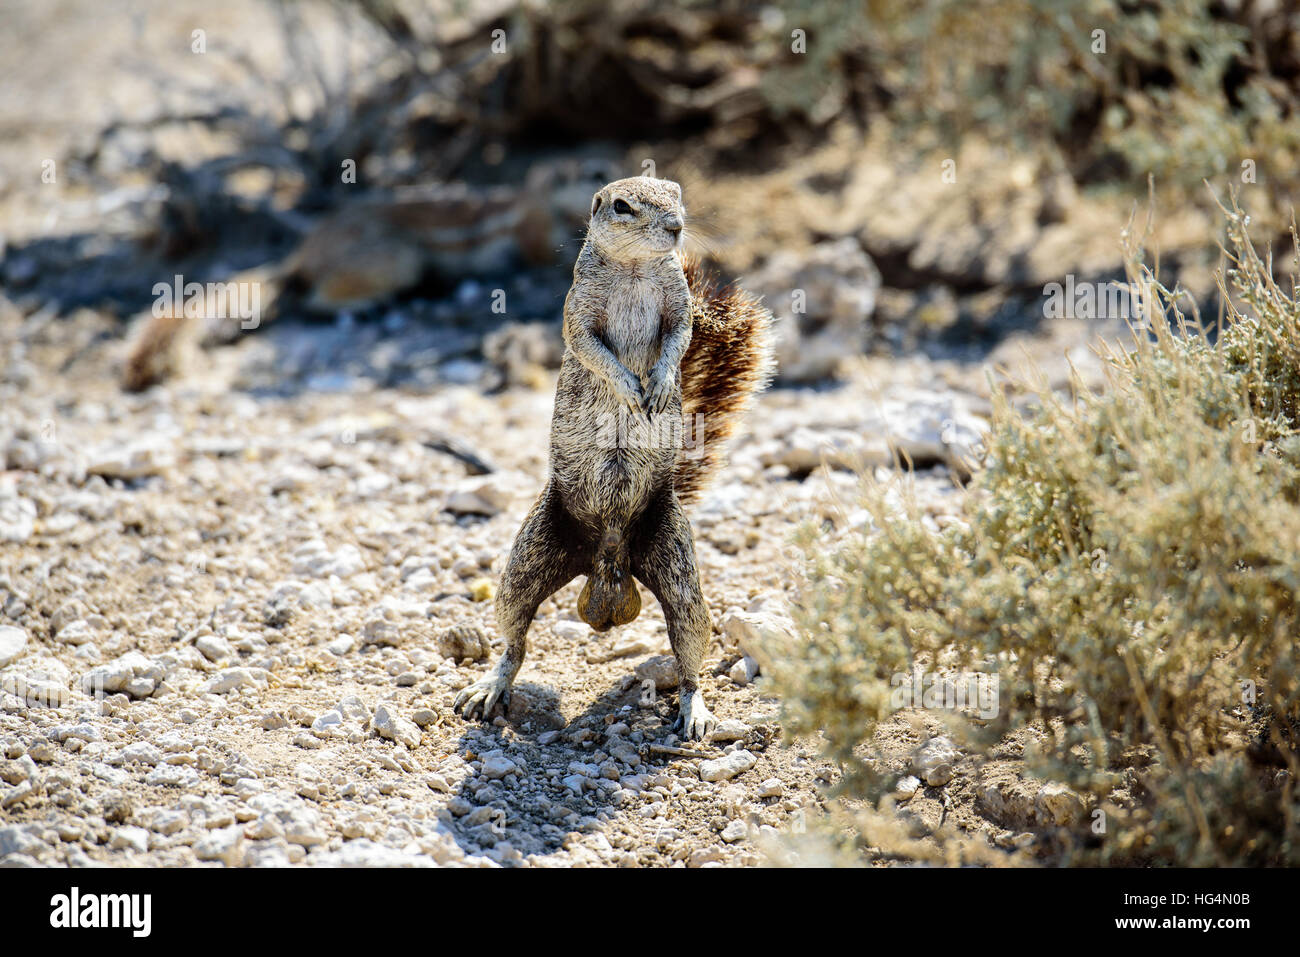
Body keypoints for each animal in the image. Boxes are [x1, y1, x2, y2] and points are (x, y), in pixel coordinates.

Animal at [453, 176, 774, 739]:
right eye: (622, 206)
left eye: (676, 192)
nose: (676, 227)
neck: (634, 268)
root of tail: (608, 562)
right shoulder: (578, 309)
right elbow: (589, 346)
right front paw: (627, 387)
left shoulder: (679, 306)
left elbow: (679, 339)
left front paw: (661, 384)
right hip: (528, 559)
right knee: (515, 638)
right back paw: (490, 686)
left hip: (677, 562)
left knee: (689, 652)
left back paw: (695, 710)